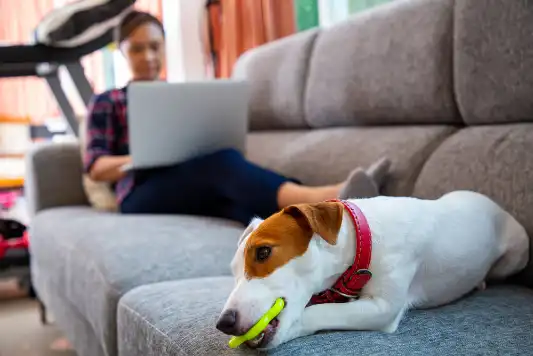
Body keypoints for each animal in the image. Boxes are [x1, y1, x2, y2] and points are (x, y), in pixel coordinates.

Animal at [215, 191, 528, 350]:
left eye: (263, 252)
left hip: (515, 256)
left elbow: (316, 312)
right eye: (232, 271)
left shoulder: (383, 307)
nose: (223, 323)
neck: (360, 240)